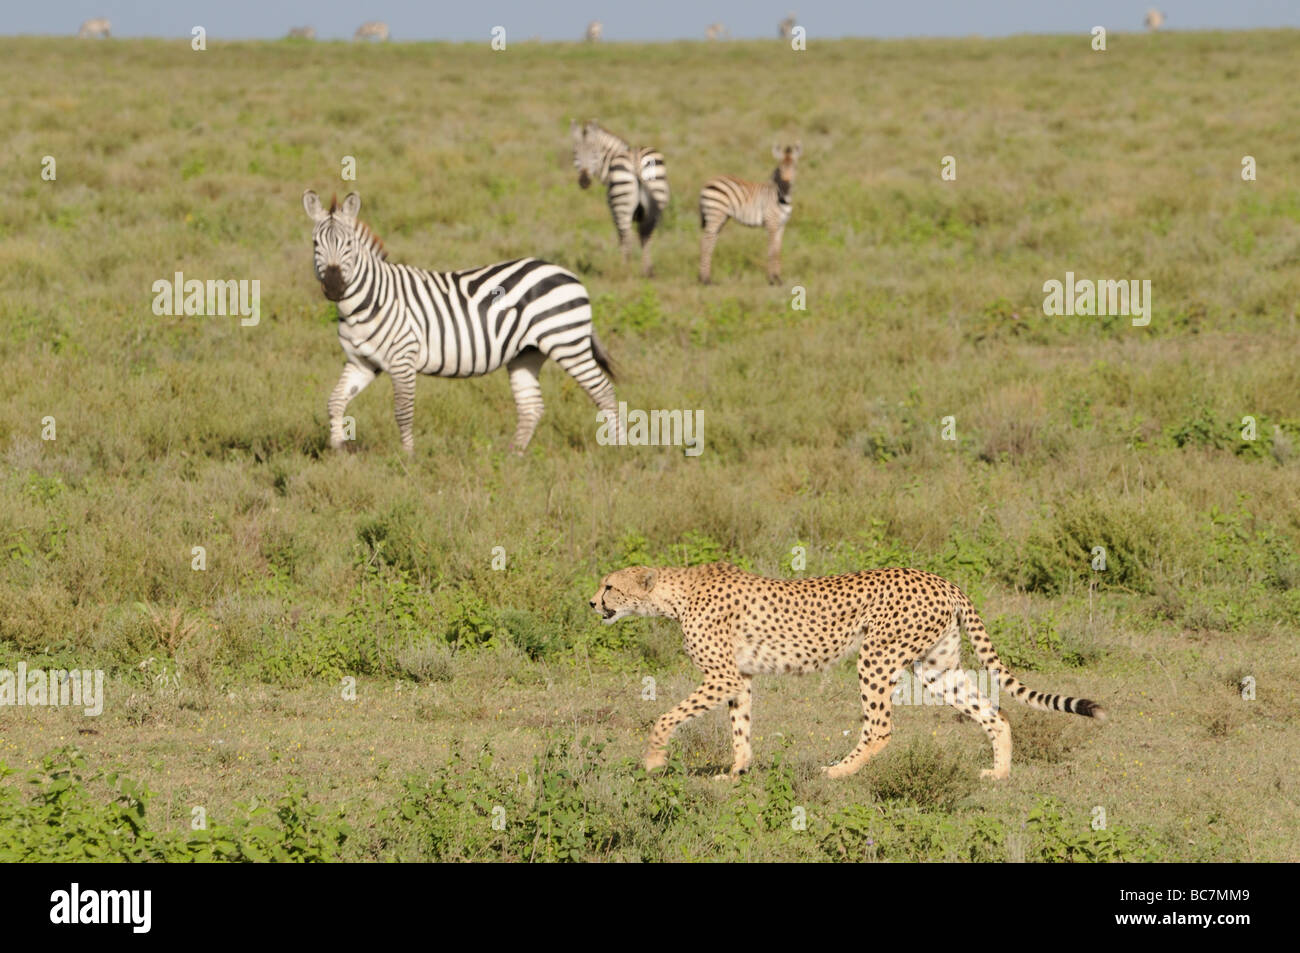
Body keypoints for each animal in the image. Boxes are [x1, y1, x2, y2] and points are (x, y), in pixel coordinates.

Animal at [302, 190, 620, 454]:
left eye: (349, 244)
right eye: (316, 243)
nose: (334, 286)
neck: (367, 303)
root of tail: (568, 273)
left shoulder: (403, 358)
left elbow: (403, 411)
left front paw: (408, 458)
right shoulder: (362, 362)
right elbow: (335, 401)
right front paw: (339, 451)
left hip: (567, 343)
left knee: (603, 391)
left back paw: (614, 449)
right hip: (527, 353)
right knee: (532, 406)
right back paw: (512, 458)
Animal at [570, 120, 670, 277]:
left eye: (594, 152)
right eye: (575, 152)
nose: (584, 181)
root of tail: (636, 159)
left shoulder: (613, 213)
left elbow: (621, 239)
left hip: (620, 205)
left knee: (627, 237)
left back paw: (625, 270)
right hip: (656, 199)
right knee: (647, 236)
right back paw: (648, 272)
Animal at [590, 561, 1106, 780]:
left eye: (610, 586)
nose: (592, 603)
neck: (674, 594)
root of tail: (941, 579)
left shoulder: (722, 677)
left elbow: (665, 718)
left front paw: (653, 760)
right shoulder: (740, 679)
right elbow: (741, 728)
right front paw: (736, 773)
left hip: (876, 656)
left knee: (879, 728)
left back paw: (837, 771)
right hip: (936, 668)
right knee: (995, 713)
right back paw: (998, 774)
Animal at [698, 143, 801, 285]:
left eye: (795, 167)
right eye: (780, 169)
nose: (786, 184)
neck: (781, 197)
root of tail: (708, 182)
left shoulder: (781, 225)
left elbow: (778, 250)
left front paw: (778, 279)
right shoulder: (771, 223)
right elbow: (772, 251)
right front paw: (772, 280)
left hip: (721, 217)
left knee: (711, 240)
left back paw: (706, 278)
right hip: (715, 214)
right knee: (705, 242)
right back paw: (706, 280)